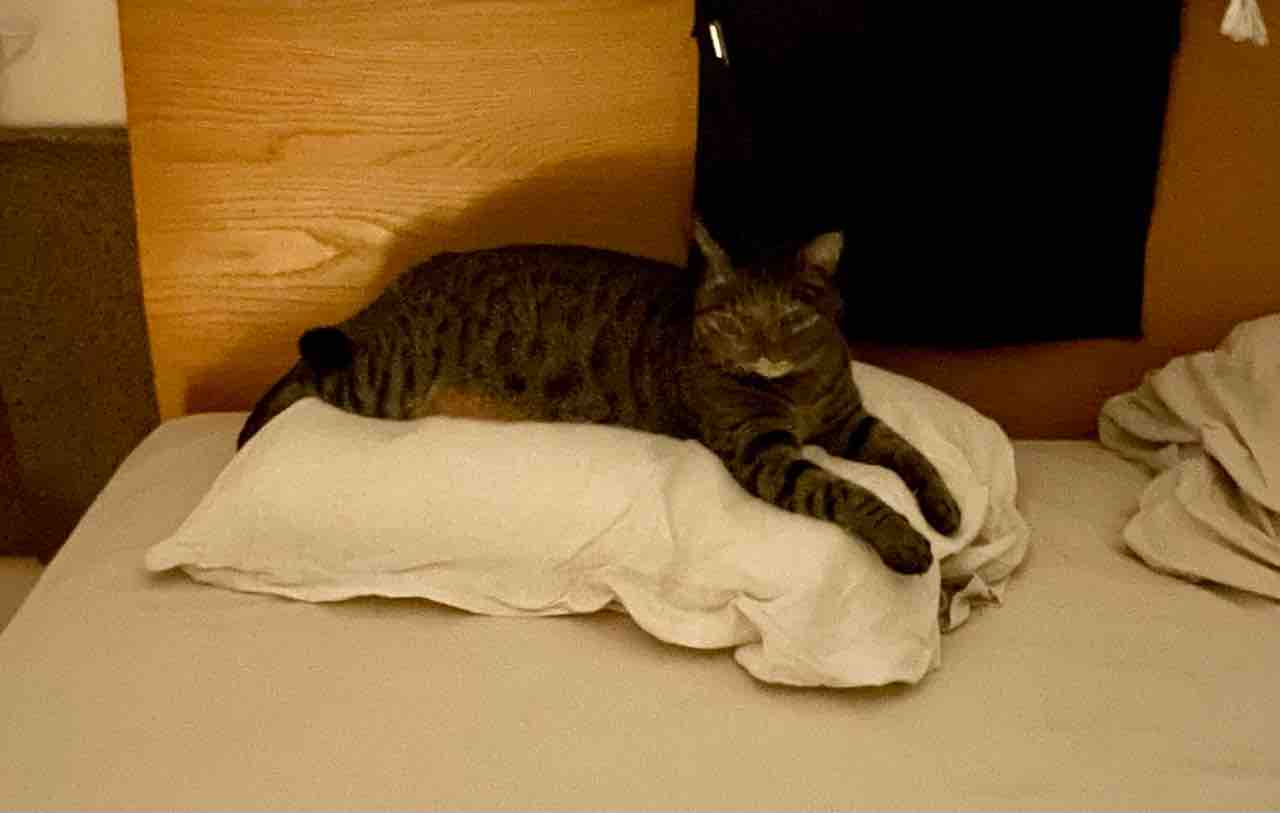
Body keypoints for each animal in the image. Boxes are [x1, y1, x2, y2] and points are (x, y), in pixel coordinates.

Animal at [238, 220, 961, 574]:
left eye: (792, 315)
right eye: (734, 318)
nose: (765, 349)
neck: (796, 389)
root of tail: (399, 284)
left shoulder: (851, 422)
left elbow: (912, 454)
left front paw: (945, 509)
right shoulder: (766, 454)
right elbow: (847, 492)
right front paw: (905, 540)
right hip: (384, 377)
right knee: (309, 362)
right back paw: (253, 425)